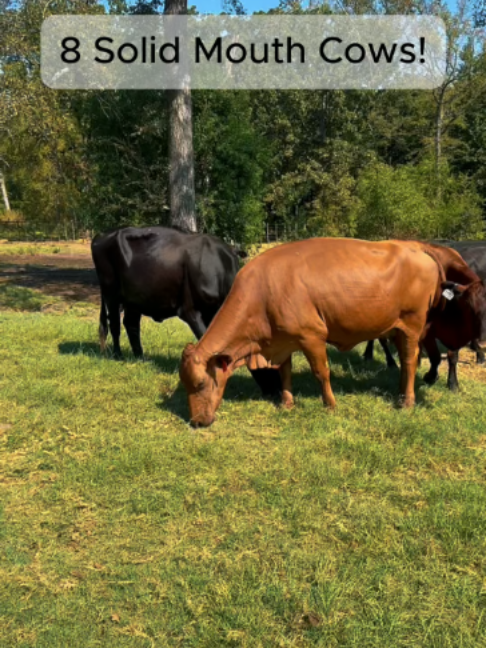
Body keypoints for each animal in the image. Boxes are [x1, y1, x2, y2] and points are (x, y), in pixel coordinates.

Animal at [91, 226, 281, 397]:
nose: (278, 392)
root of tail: (101, 236)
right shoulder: (191, 312)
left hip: (135, 299)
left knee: (131, 324)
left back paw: (140, 357)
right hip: (111, 292)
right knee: (114, 323)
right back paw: (117, 356)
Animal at [363, 241, 486, 390]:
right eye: (469, 306)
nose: (483, 343)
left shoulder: (457, 332)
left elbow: (453, 357)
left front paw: (453, 383)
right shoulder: (427, 330)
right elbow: (435, 356)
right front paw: (430, 376)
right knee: (380, 339)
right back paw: (384, 359)